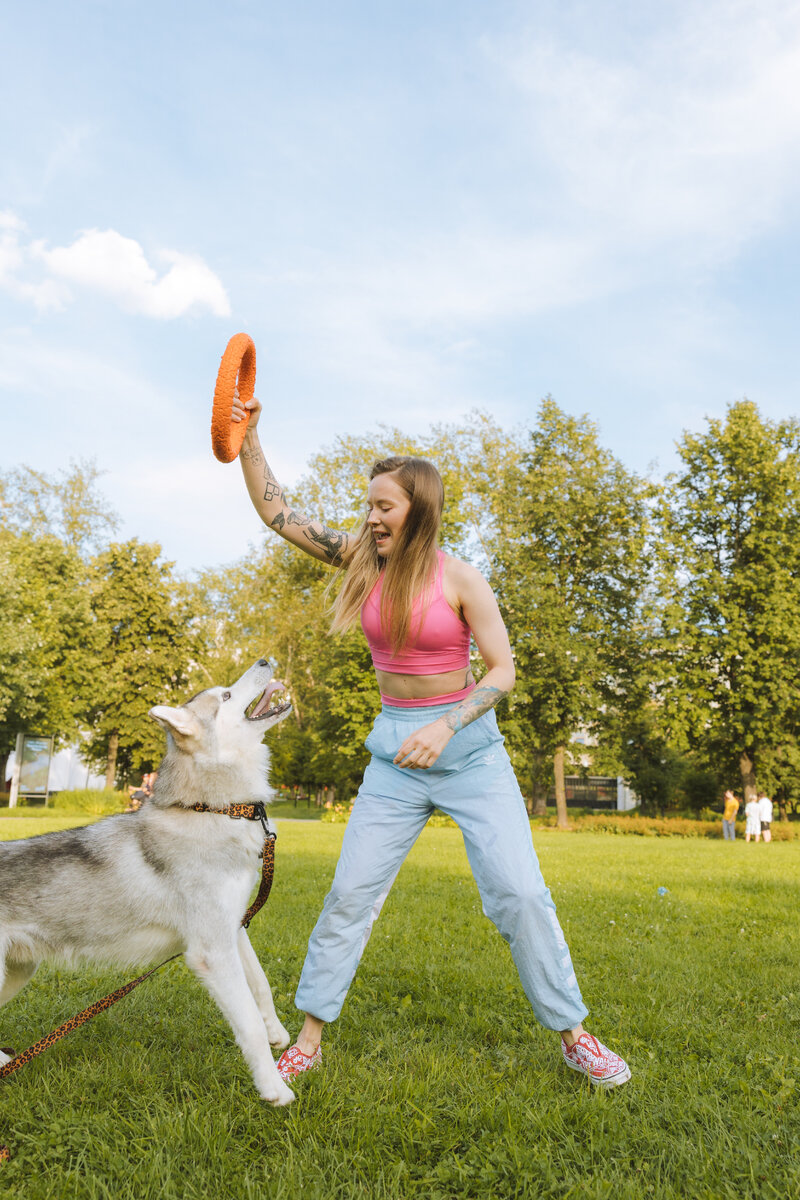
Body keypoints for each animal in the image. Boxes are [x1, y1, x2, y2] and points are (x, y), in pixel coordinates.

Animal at [0, 657, 297, 1104]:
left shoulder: (232, 927)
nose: (264, 660)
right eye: (226, 695)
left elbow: (261, 985)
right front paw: (273, 1088)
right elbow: (247, 1023)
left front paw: (277, 1032)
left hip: (18, 970)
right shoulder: (212, 951)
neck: (213, 809)